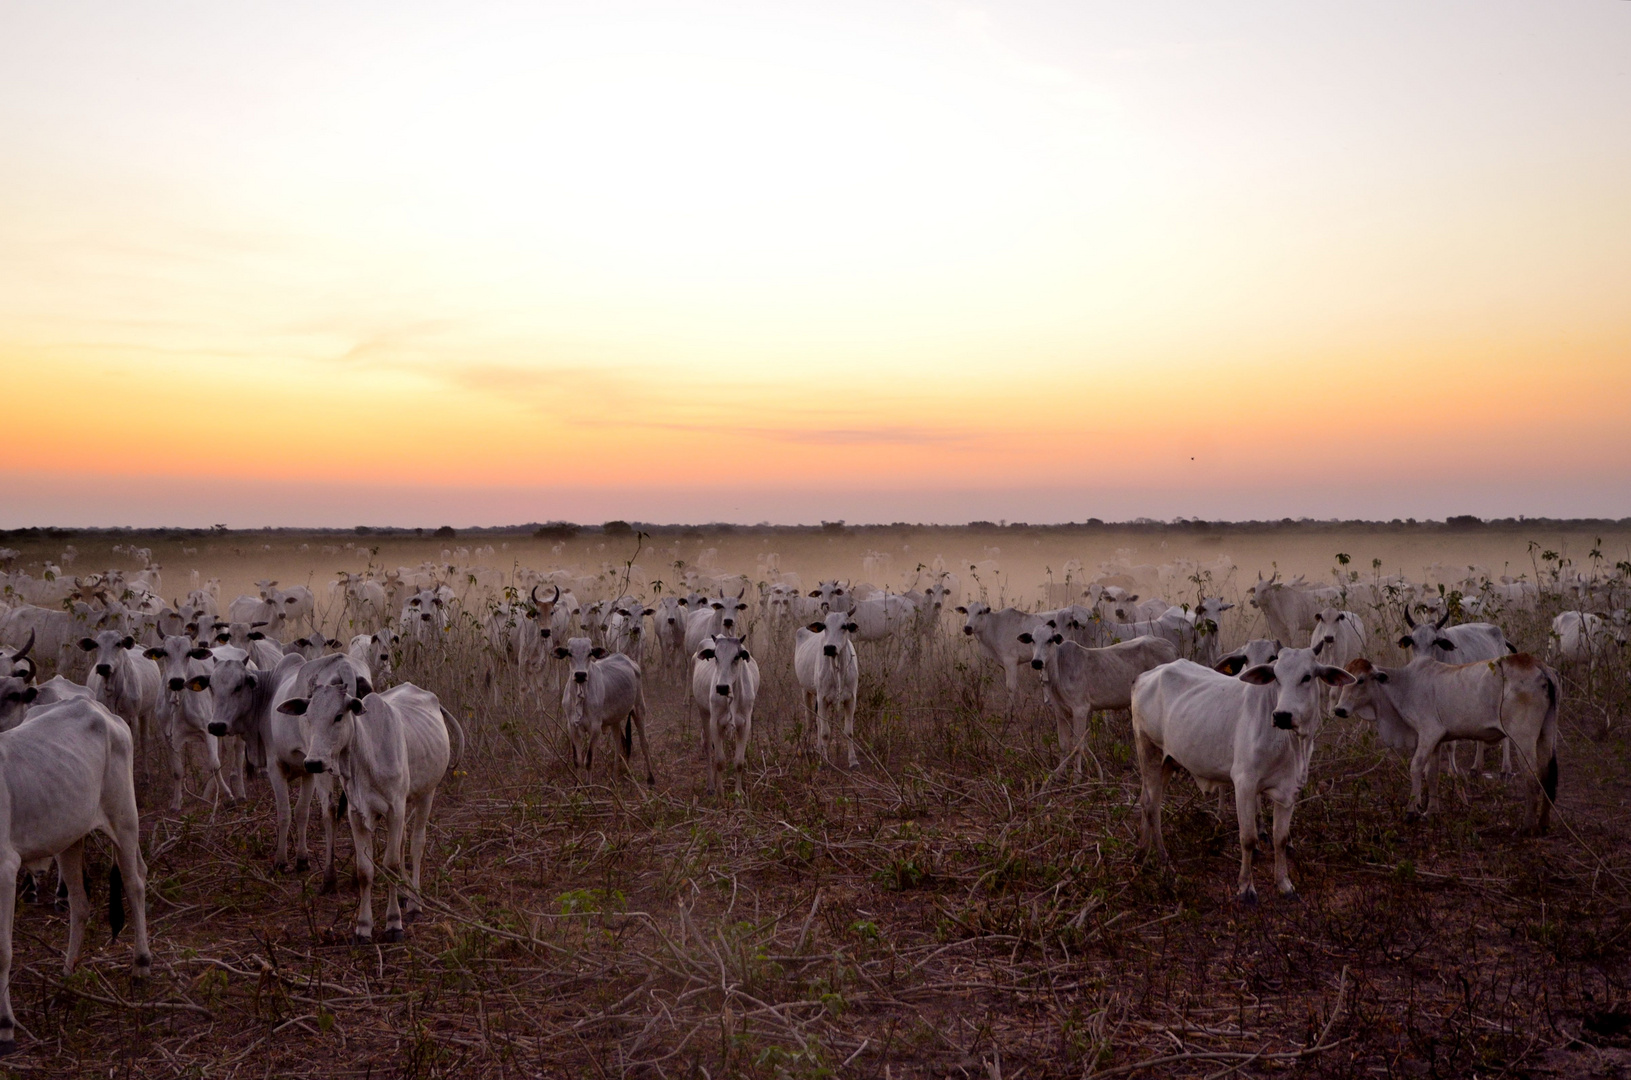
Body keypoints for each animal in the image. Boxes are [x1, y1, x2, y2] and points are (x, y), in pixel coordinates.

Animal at [1135, 652, 1350, 907]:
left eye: (1307, 677)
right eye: (1276, 676)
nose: (1282, 715)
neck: (1290, 744)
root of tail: (1145, 676)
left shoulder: (1289, 790)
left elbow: (1280, 838)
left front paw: (1284, 884)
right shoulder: (1244, 785)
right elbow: (1248, 838)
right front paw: (1246, 888)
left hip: (1167, 761)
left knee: (1146, 801)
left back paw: (1142, 856)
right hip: (1149, 752)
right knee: (1152, 808)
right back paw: (1165, 864)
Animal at [1330, 655, 1559, 832]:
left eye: (1360, 680)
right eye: (1343, 681)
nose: (1339, 710)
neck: (1404, 685)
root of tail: (1538, 664)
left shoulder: (1429, 733)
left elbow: (1416, 768)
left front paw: (1412, 811)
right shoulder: (1438, 741)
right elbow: (1432, 774)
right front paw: (1431, 811)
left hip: (1523, 738)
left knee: (1531, 776)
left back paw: (1527, 826)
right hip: (1546, 734)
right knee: (1547, 773)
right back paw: (1544, 823)